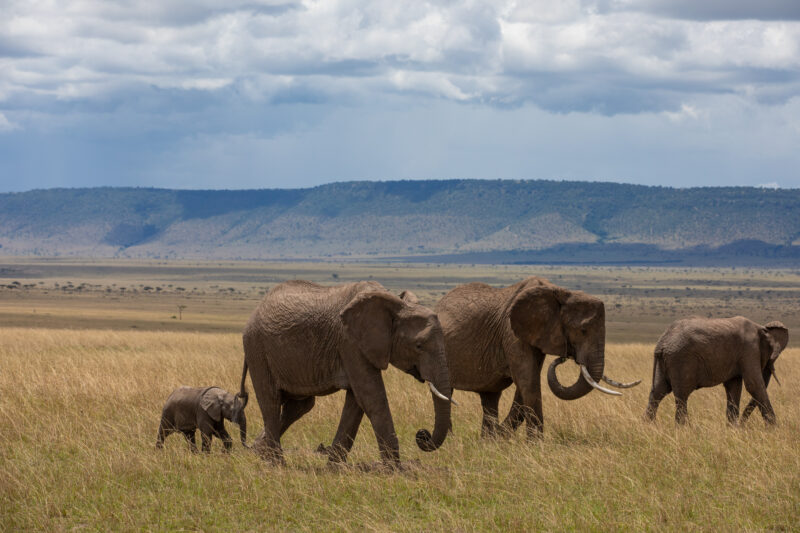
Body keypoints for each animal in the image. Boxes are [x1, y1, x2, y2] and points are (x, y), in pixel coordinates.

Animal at [240, 280, 453, 467]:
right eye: (419, 346)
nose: (422, 434)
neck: (395, 305)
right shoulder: (350, 342)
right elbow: (371, 397)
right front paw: (394, 470)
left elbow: (356, 401)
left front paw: (334, 468)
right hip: (257, 349)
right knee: (271, 402)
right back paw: (276, 464)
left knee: (299, 406)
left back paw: (260, 452)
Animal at [435, 276, 639, 439]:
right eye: (582, 330)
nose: (564, 357)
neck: (559, 293)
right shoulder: (512, 332)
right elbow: (528, 380)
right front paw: (535, 444)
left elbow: (526, 383)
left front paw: (501, 438)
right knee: (446, 391)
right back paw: (451, 441)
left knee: (490, 397)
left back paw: (486, 441)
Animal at [643, 317, 789, 425]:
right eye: (772, 356)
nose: (743, 424)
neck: (761, 328)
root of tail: (662, 343)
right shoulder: (750, 349)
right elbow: (754, 385)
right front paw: (773, 429)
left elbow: (733, 387)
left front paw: (733, 429)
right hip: (680, 359)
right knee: (681, 396)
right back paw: (683, 429)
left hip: (665, 361)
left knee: (657, 392)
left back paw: (649, 427)